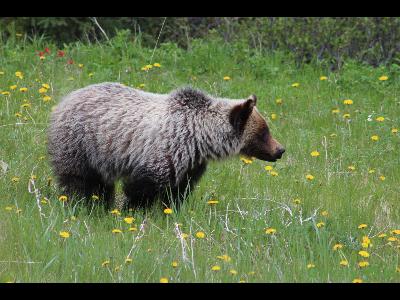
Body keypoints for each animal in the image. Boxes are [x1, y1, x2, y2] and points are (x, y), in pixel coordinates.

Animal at [47, 82, 284, 209]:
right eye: (264, 132)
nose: (280, 150)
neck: (199, 140)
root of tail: (65, 99)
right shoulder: (161, 153)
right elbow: (142, 189)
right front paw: (132, 210)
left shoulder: (190, 165)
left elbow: (178, 191)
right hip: (81, 144)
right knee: (81, 181)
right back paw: (85, 204)